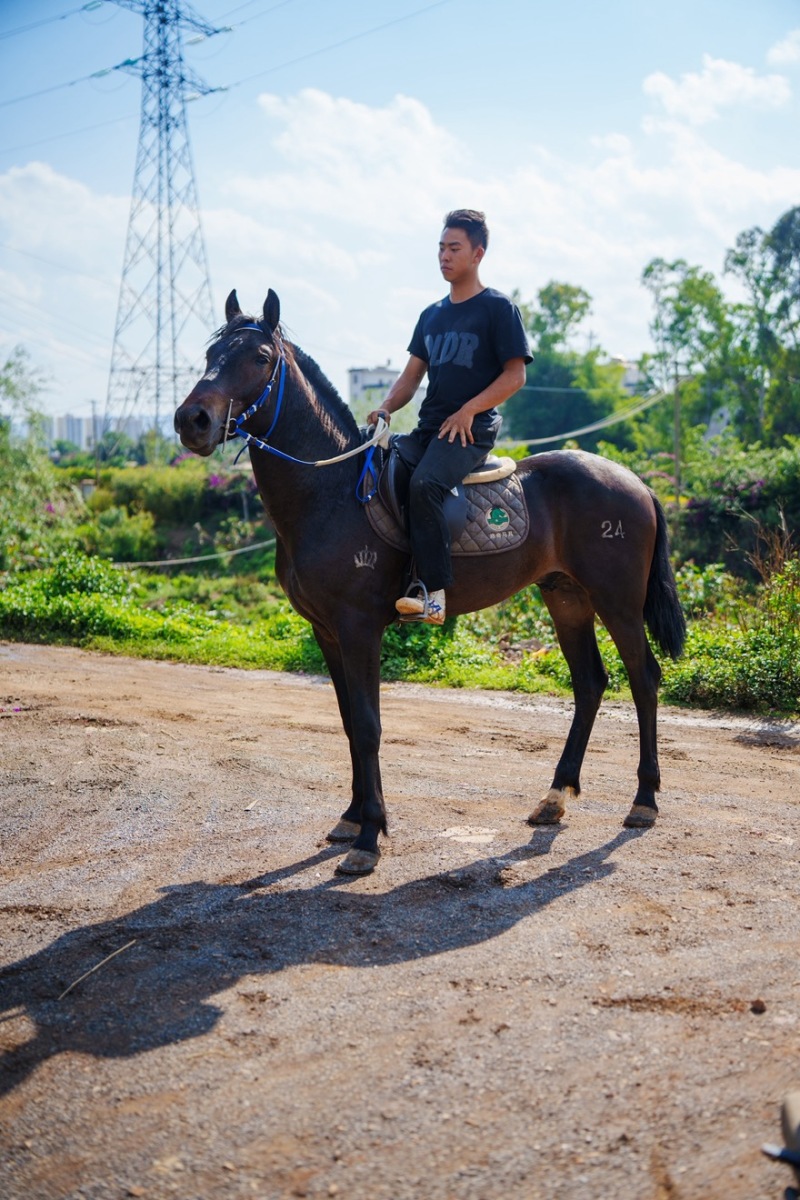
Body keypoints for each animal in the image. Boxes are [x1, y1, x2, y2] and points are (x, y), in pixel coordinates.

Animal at [174, 289, 686, 876]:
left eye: (259, 358)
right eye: (210, 354)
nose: (192, 420)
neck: (331, 493)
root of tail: (637, 484)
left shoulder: (358, 628)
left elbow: (369, 726)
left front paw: (369, 837)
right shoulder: (326, 631)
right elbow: (348, 722)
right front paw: (351, 818)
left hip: (617, 601)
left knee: (643, 678)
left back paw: (644, 802)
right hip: (567, 598)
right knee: (590, 683)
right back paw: (554, 797)